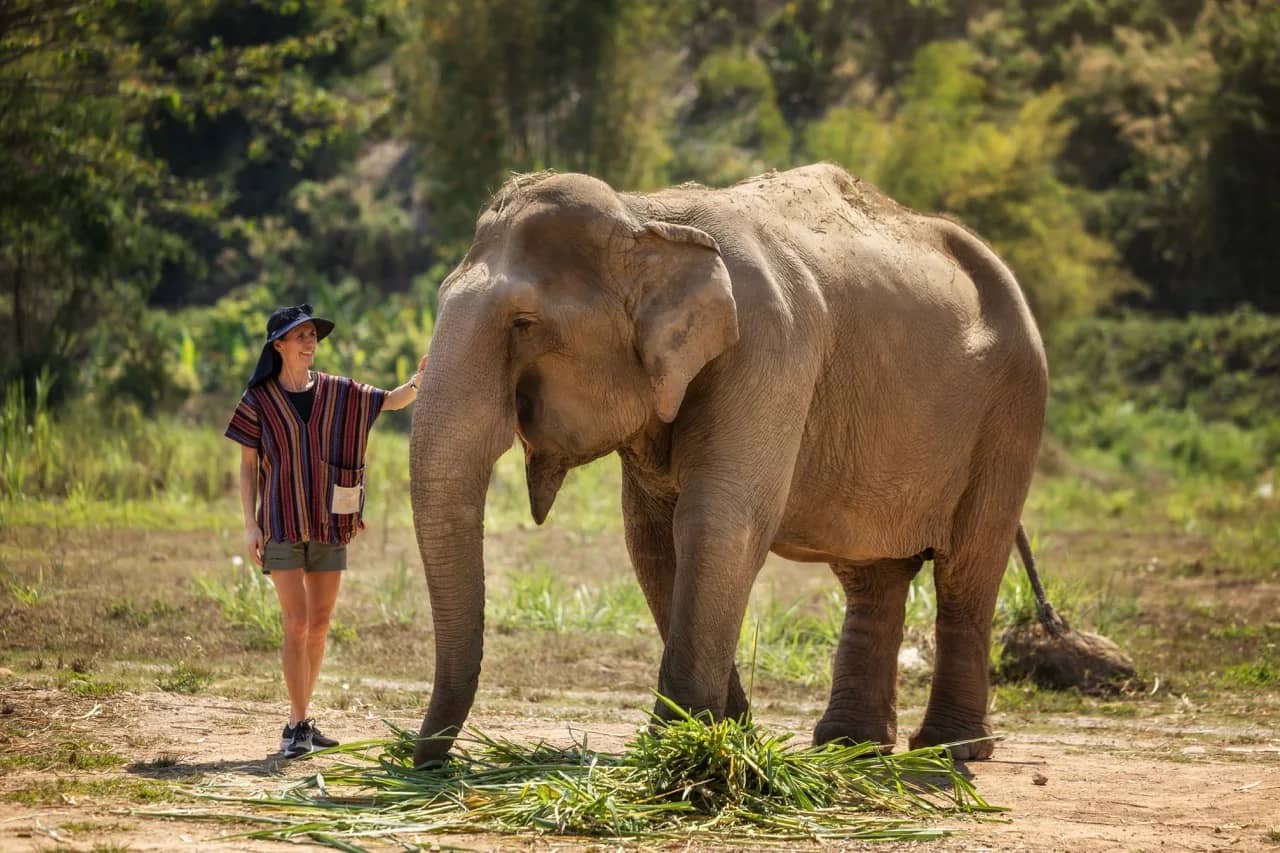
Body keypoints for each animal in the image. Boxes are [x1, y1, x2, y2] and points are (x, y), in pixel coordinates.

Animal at [408, 163, 1047, 767]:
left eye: (524, 324)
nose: (425, 762)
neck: (648, 215)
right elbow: (651, 540)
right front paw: (721, 737)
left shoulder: (772, 347)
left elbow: (719, 523)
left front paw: (680, 752)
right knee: (872, 574)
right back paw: (850, 747)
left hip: (1013, 410)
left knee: (968, 568)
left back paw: (951, 750)